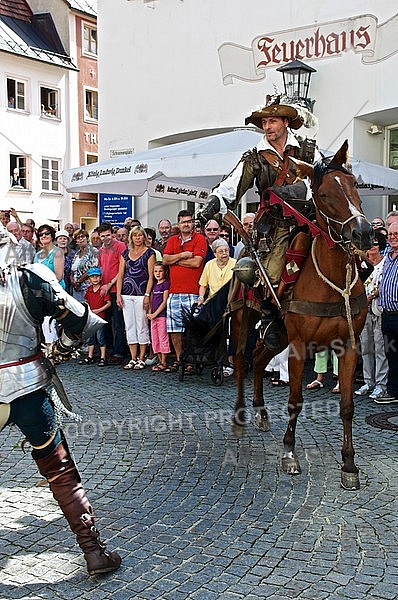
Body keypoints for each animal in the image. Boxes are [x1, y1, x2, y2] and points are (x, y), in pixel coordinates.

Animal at [230, 142, 374, 492]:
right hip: (242, 318)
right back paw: (241, 416)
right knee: (241, 360)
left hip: (277, 334)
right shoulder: (298, 346)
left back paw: (260, 413)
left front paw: (349, 465)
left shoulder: (348, 347)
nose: (364, 233)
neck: (332, 282)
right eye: (322, 194)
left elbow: (347, 406)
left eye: (354, 185)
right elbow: (295, 400)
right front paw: (289, 454)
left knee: (258, 359)